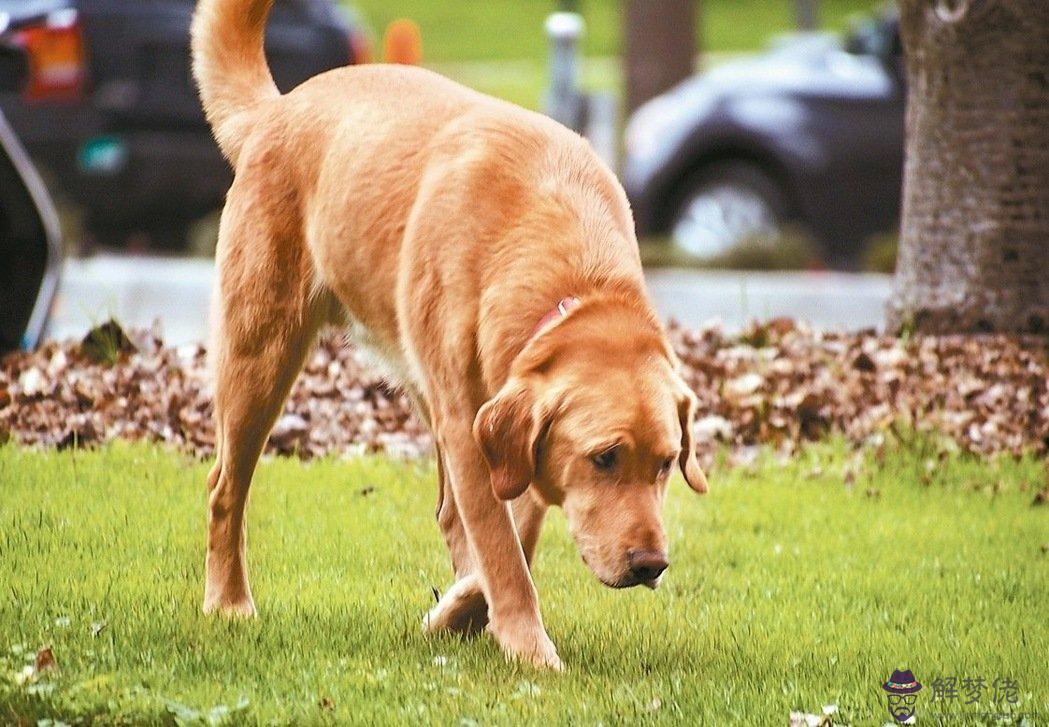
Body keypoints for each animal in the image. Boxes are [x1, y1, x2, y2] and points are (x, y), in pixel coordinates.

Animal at [193, 0, 709, 667]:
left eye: (668, 463)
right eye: (605, 458)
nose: (652, 564)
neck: (569, 276)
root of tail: (276, 112)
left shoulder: (504, 437)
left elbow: (509, 538)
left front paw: (464, 611)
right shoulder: (473, 429)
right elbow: (505, 554)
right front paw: (528, 648)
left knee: (446, 513)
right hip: (259, 356)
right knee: (223, 488)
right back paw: (229, 603)